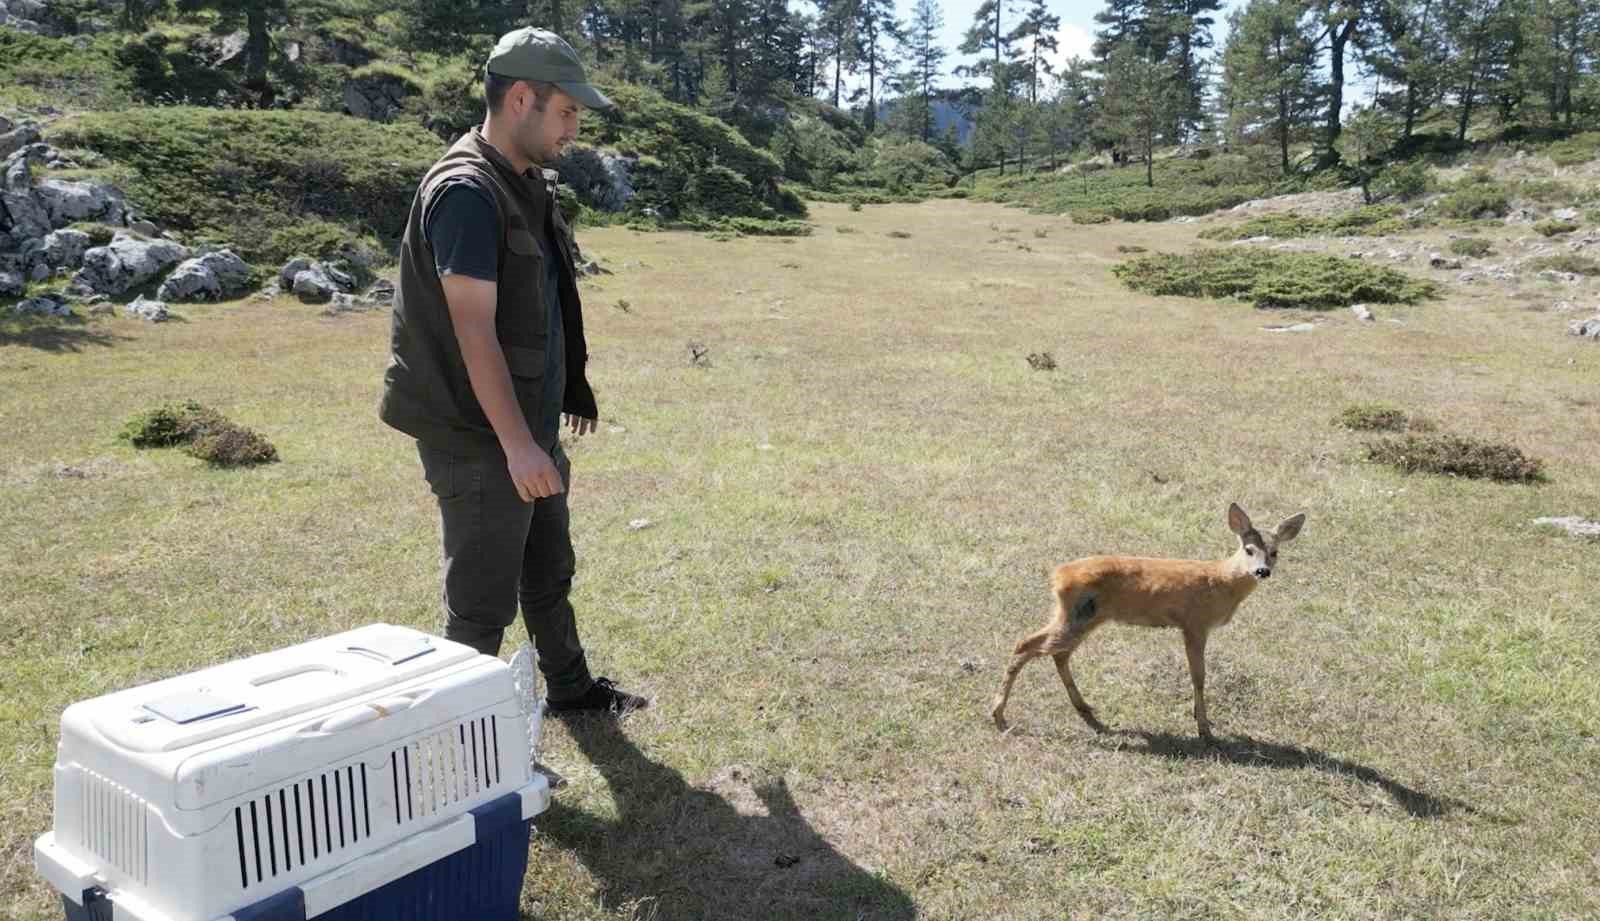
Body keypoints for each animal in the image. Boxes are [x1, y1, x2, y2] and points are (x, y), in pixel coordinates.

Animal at [985, 505, 1312, 741]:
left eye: (1275, 552)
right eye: (1248, 549)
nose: (1262, 571)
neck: (1221, 582)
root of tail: (1057, 575)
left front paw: (1199, 718)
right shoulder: (1195, 623)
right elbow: (1199, 676)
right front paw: (1204, 729)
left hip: (1081, 616)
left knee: (1056, 653)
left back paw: (1086, 711)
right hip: (1078, 615)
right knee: (1026, 645)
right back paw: (999, 715)